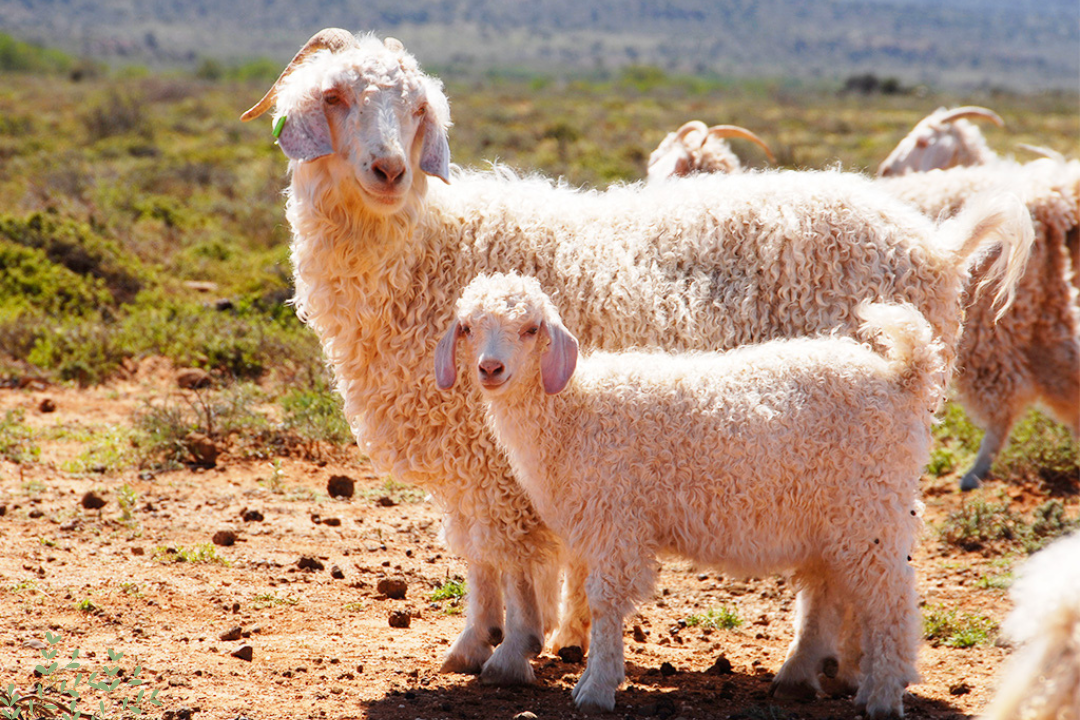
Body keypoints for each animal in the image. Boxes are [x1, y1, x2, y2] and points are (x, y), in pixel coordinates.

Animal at [240, 28, 1032, 690]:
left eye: (413, 108)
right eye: (336, 98)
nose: (388, 169)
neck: (426, 248)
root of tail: (936, 248)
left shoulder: (496, 461)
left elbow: (512, 560)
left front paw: (510, 649)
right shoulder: (470, 455)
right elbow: (481, 556)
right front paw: (485, 640)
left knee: (844, 571)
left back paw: (821, 668)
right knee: (835, 569)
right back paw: (835, 666)